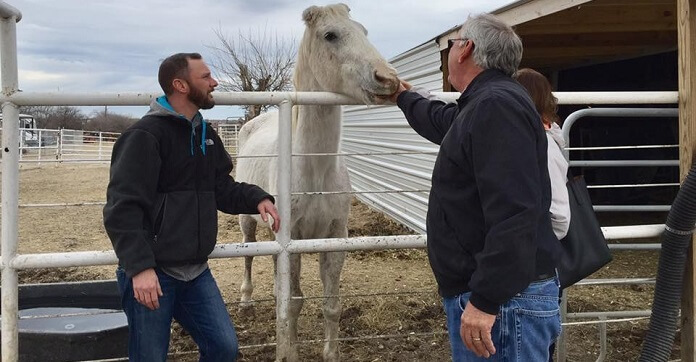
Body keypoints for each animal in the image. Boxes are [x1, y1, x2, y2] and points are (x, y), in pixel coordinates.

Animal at [234, 3, 396, 362]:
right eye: (330, 35)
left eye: (364, 31)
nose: (388, 79)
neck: (315, 170)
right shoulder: (291, 237)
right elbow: (293, 303)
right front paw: (290, 352)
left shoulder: (335, 237)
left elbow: (332, 305)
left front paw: (331, 353)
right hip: (247, 222)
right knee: (249, 255)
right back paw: (247, 300)